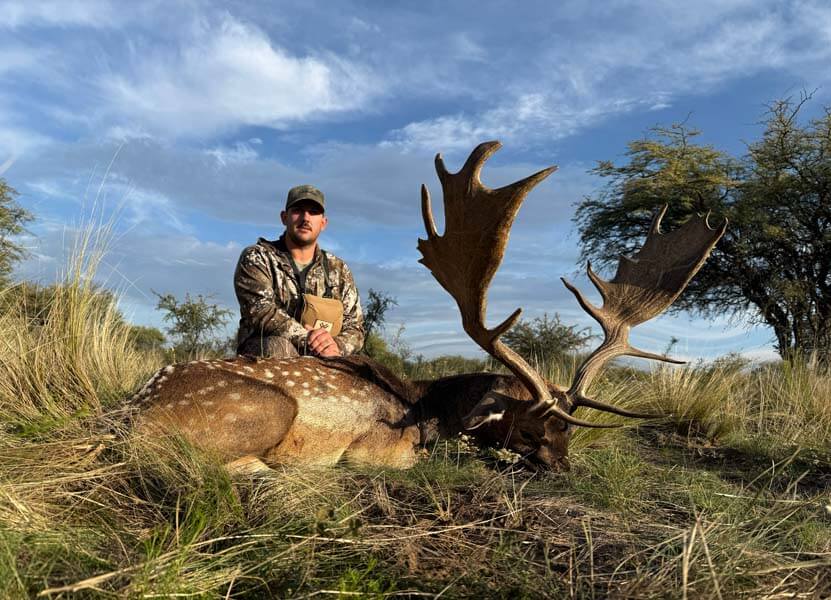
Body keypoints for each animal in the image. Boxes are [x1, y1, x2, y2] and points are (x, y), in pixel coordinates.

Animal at [130, 141, 726, 471]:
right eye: (531, 431)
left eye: (570, 433)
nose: (565, 471)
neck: (427, 409)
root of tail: (131, 411)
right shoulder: (376, 448)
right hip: (268, 407)